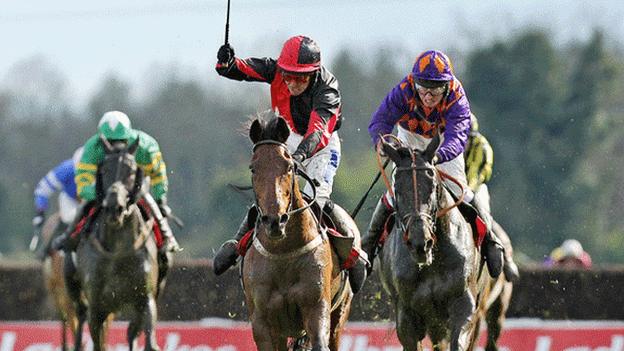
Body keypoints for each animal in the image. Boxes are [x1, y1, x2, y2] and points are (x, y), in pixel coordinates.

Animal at [65, 138, 163, 351]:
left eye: (131, 170)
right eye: (104, 170)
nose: (114, 208)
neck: (118, 251)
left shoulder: (145, 299)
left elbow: (150, 342)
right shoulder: (97, 307)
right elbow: (98, 343)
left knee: (132, 331)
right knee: (80, 314)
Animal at [243, 113, 354, 351]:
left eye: (289, 167)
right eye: (253, 168)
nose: (275, 221)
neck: (283, 252)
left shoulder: (316, 306)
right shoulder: (262, 321)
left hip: (340, 312)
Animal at [372, 135, 510, 351]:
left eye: (433, 186)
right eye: (397, 188)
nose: (420, 242)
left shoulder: (465, 304)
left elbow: (460, 338)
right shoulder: (406, 314)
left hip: (494, 307)